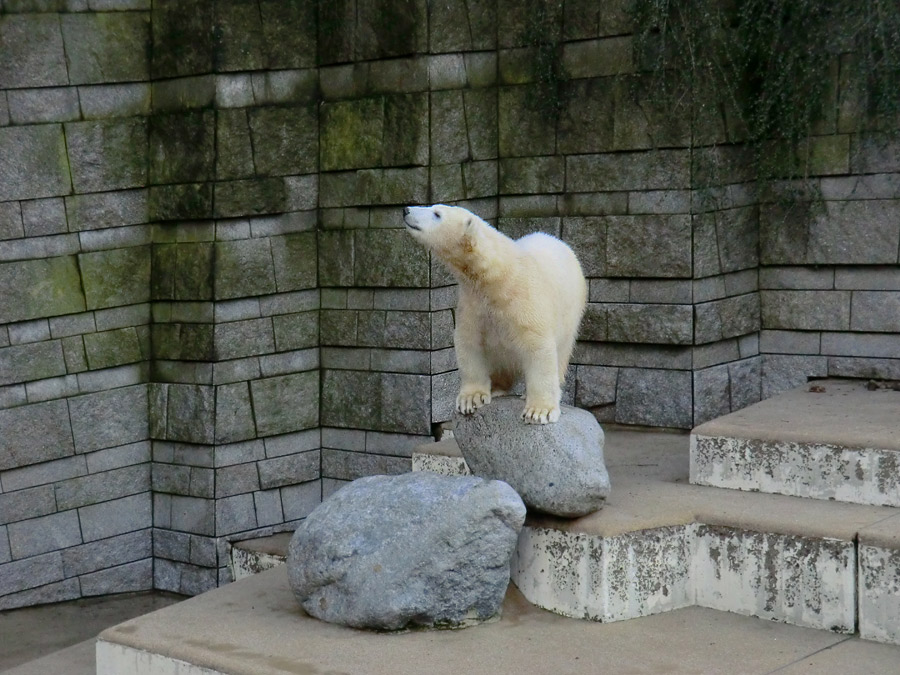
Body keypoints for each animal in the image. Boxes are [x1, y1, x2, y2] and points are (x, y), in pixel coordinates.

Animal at [402, 203, 588, 426]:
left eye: (437, 214)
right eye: (433, 207)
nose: (406, 209)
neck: (497, 278)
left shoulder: (526, 300)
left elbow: (538, 347)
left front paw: (539, 411)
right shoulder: (473, 304)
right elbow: (468, 342)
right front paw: (471, 399)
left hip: (572, 312)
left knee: (562, 351)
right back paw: (498, 388)